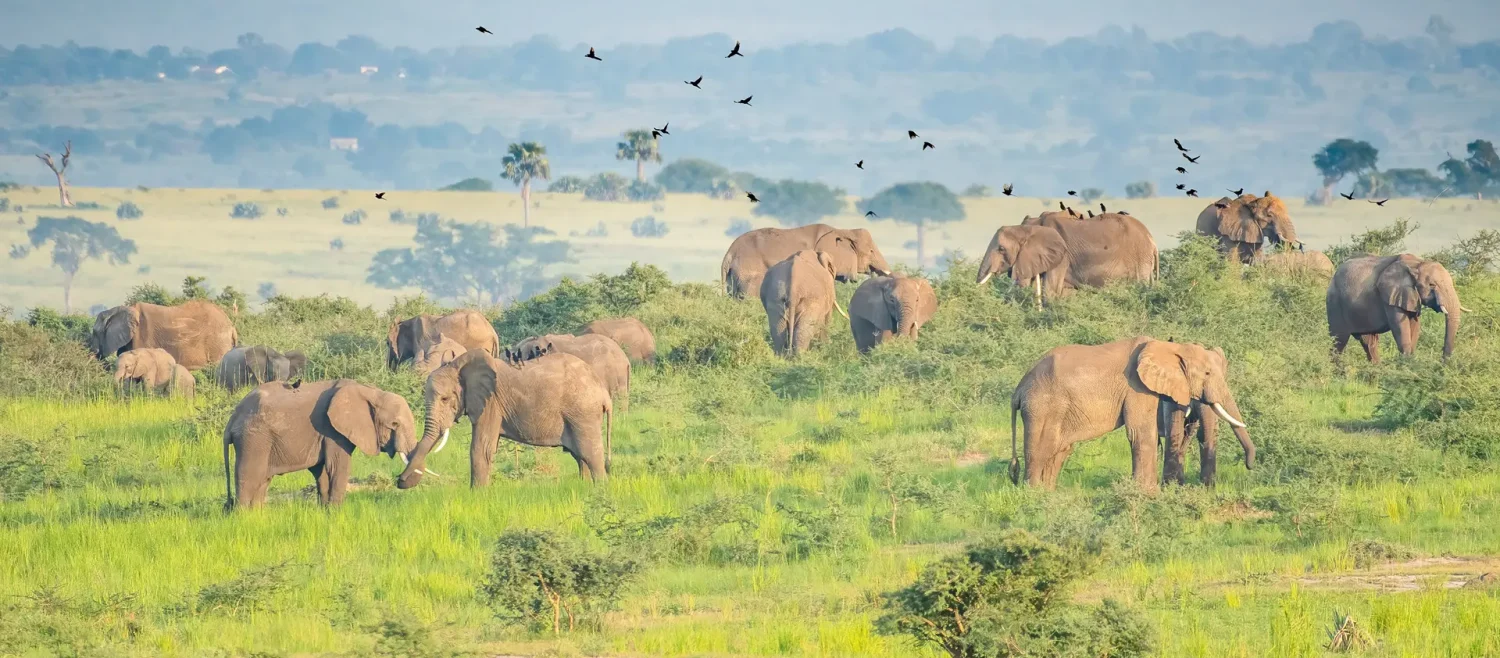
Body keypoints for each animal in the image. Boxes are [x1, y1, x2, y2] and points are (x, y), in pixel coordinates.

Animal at [222, 379, 417, 508]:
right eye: (394, 424)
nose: (399, 480)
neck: (370, 391)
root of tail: (232, 418)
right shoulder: (332, 430)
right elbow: (337, 466)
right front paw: (336, 512)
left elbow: (322, 470)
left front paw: (326, 511)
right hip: (253, 438)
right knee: (249, 476)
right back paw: (242, 517)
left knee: (263, 480)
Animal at [395, 350, 613, 490]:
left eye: (445, 399)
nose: (400, 480)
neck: (459, 364)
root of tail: (602, 390)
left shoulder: (491, 403)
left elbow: (480, 448)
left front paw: (477, 495)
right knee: (580, 455)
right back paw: (585, 487)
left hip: (582, 412)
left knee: (589, 452)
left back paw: (600, 490)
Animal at [1327, 254, 1465, 363]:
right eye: (1432, 285)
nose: (1442, 362)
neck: (1417, 263)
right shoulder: (1390, 296)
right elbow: (1400, 328)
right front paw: (1406, 366)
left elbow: (1415, 326)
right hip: (1334, 304)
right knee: (1338, 341)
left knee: (1369, 343)